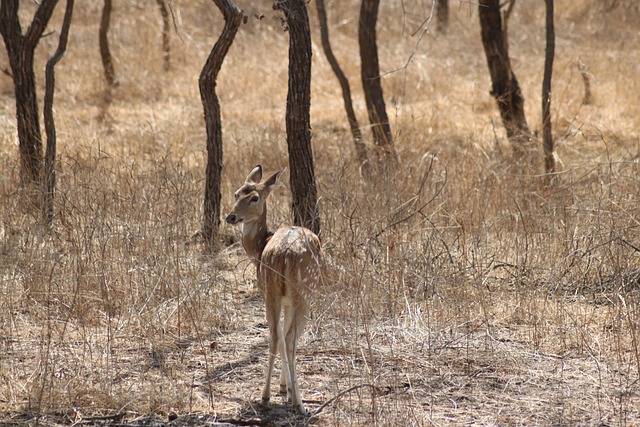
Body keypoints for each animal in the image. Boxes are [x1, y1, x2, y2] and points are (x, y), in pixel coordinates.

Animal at [226, 164, 324, 414]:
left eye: (254, 197)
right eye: (236, 194)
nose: (231, 216)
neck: (259, 247)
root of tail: (284, 254)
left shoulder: (279, 297)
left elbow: (279, 332)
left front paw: (282, 387)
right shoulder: (291, 299)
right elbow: (288, 334)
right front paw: (287, 389)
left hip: (271, 290)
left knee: (273, 335)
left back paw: (265, 396)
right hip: (304, 291)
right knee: (290, 338)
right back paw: (300, 403)